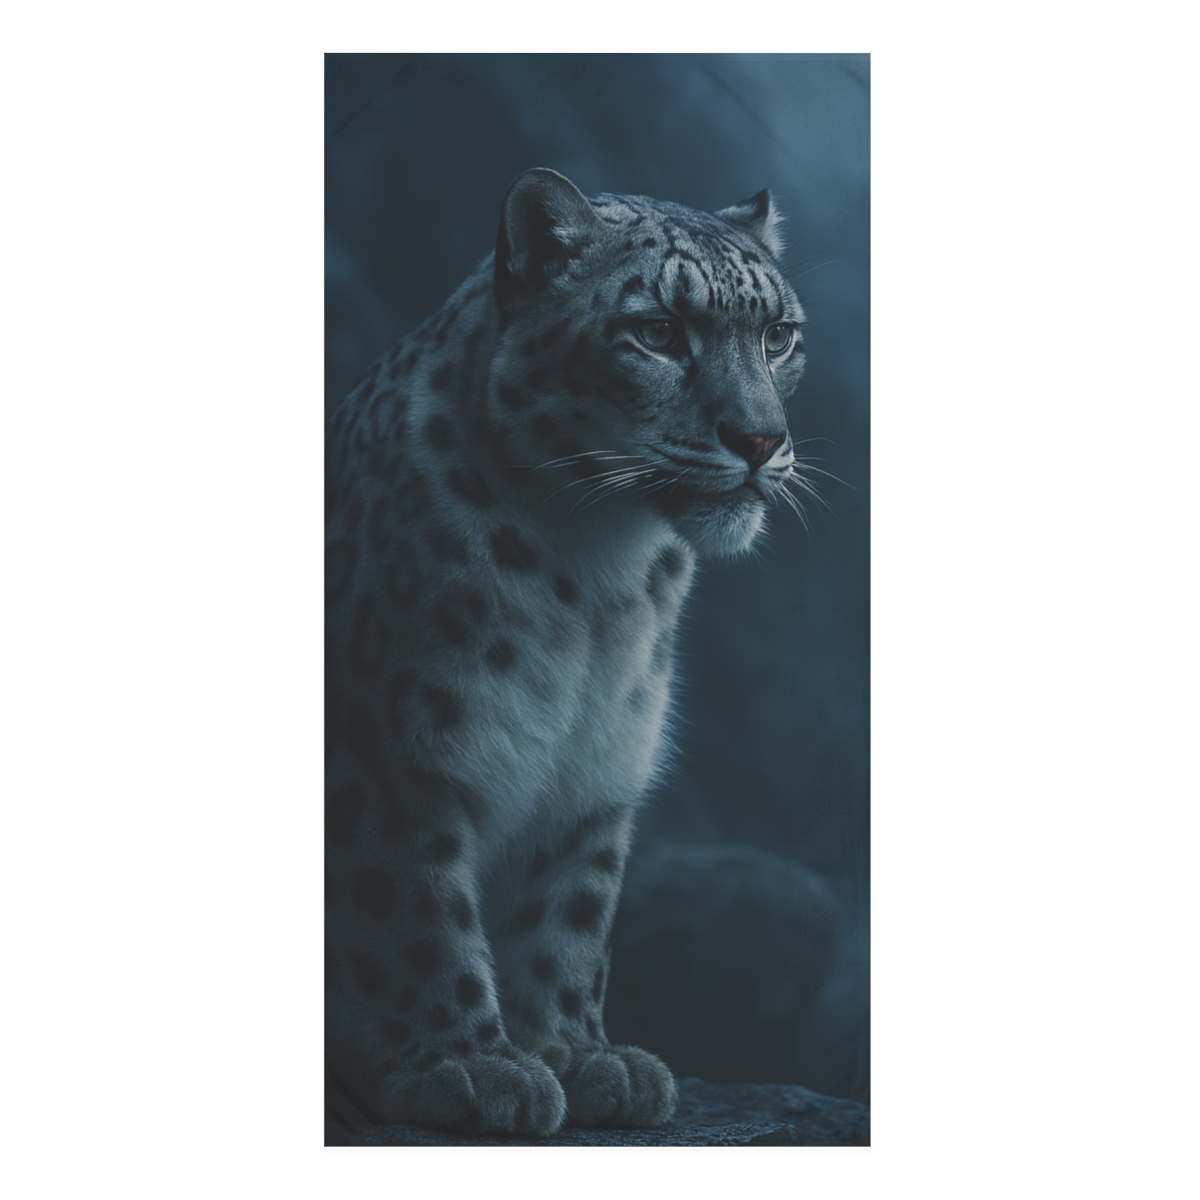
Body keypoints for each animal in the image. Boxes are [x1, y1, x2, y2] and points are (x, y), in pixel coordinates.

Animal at [325, 167, 814, 1137]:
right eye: (658, 332)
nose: (760, 440)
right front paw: (466, 1065)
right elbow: (412, 911)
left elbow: (571, 915)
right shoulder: (393, 761)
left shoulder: (595, 773)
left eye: (778, 335)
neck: (597, 579)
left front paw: (580, 1055)